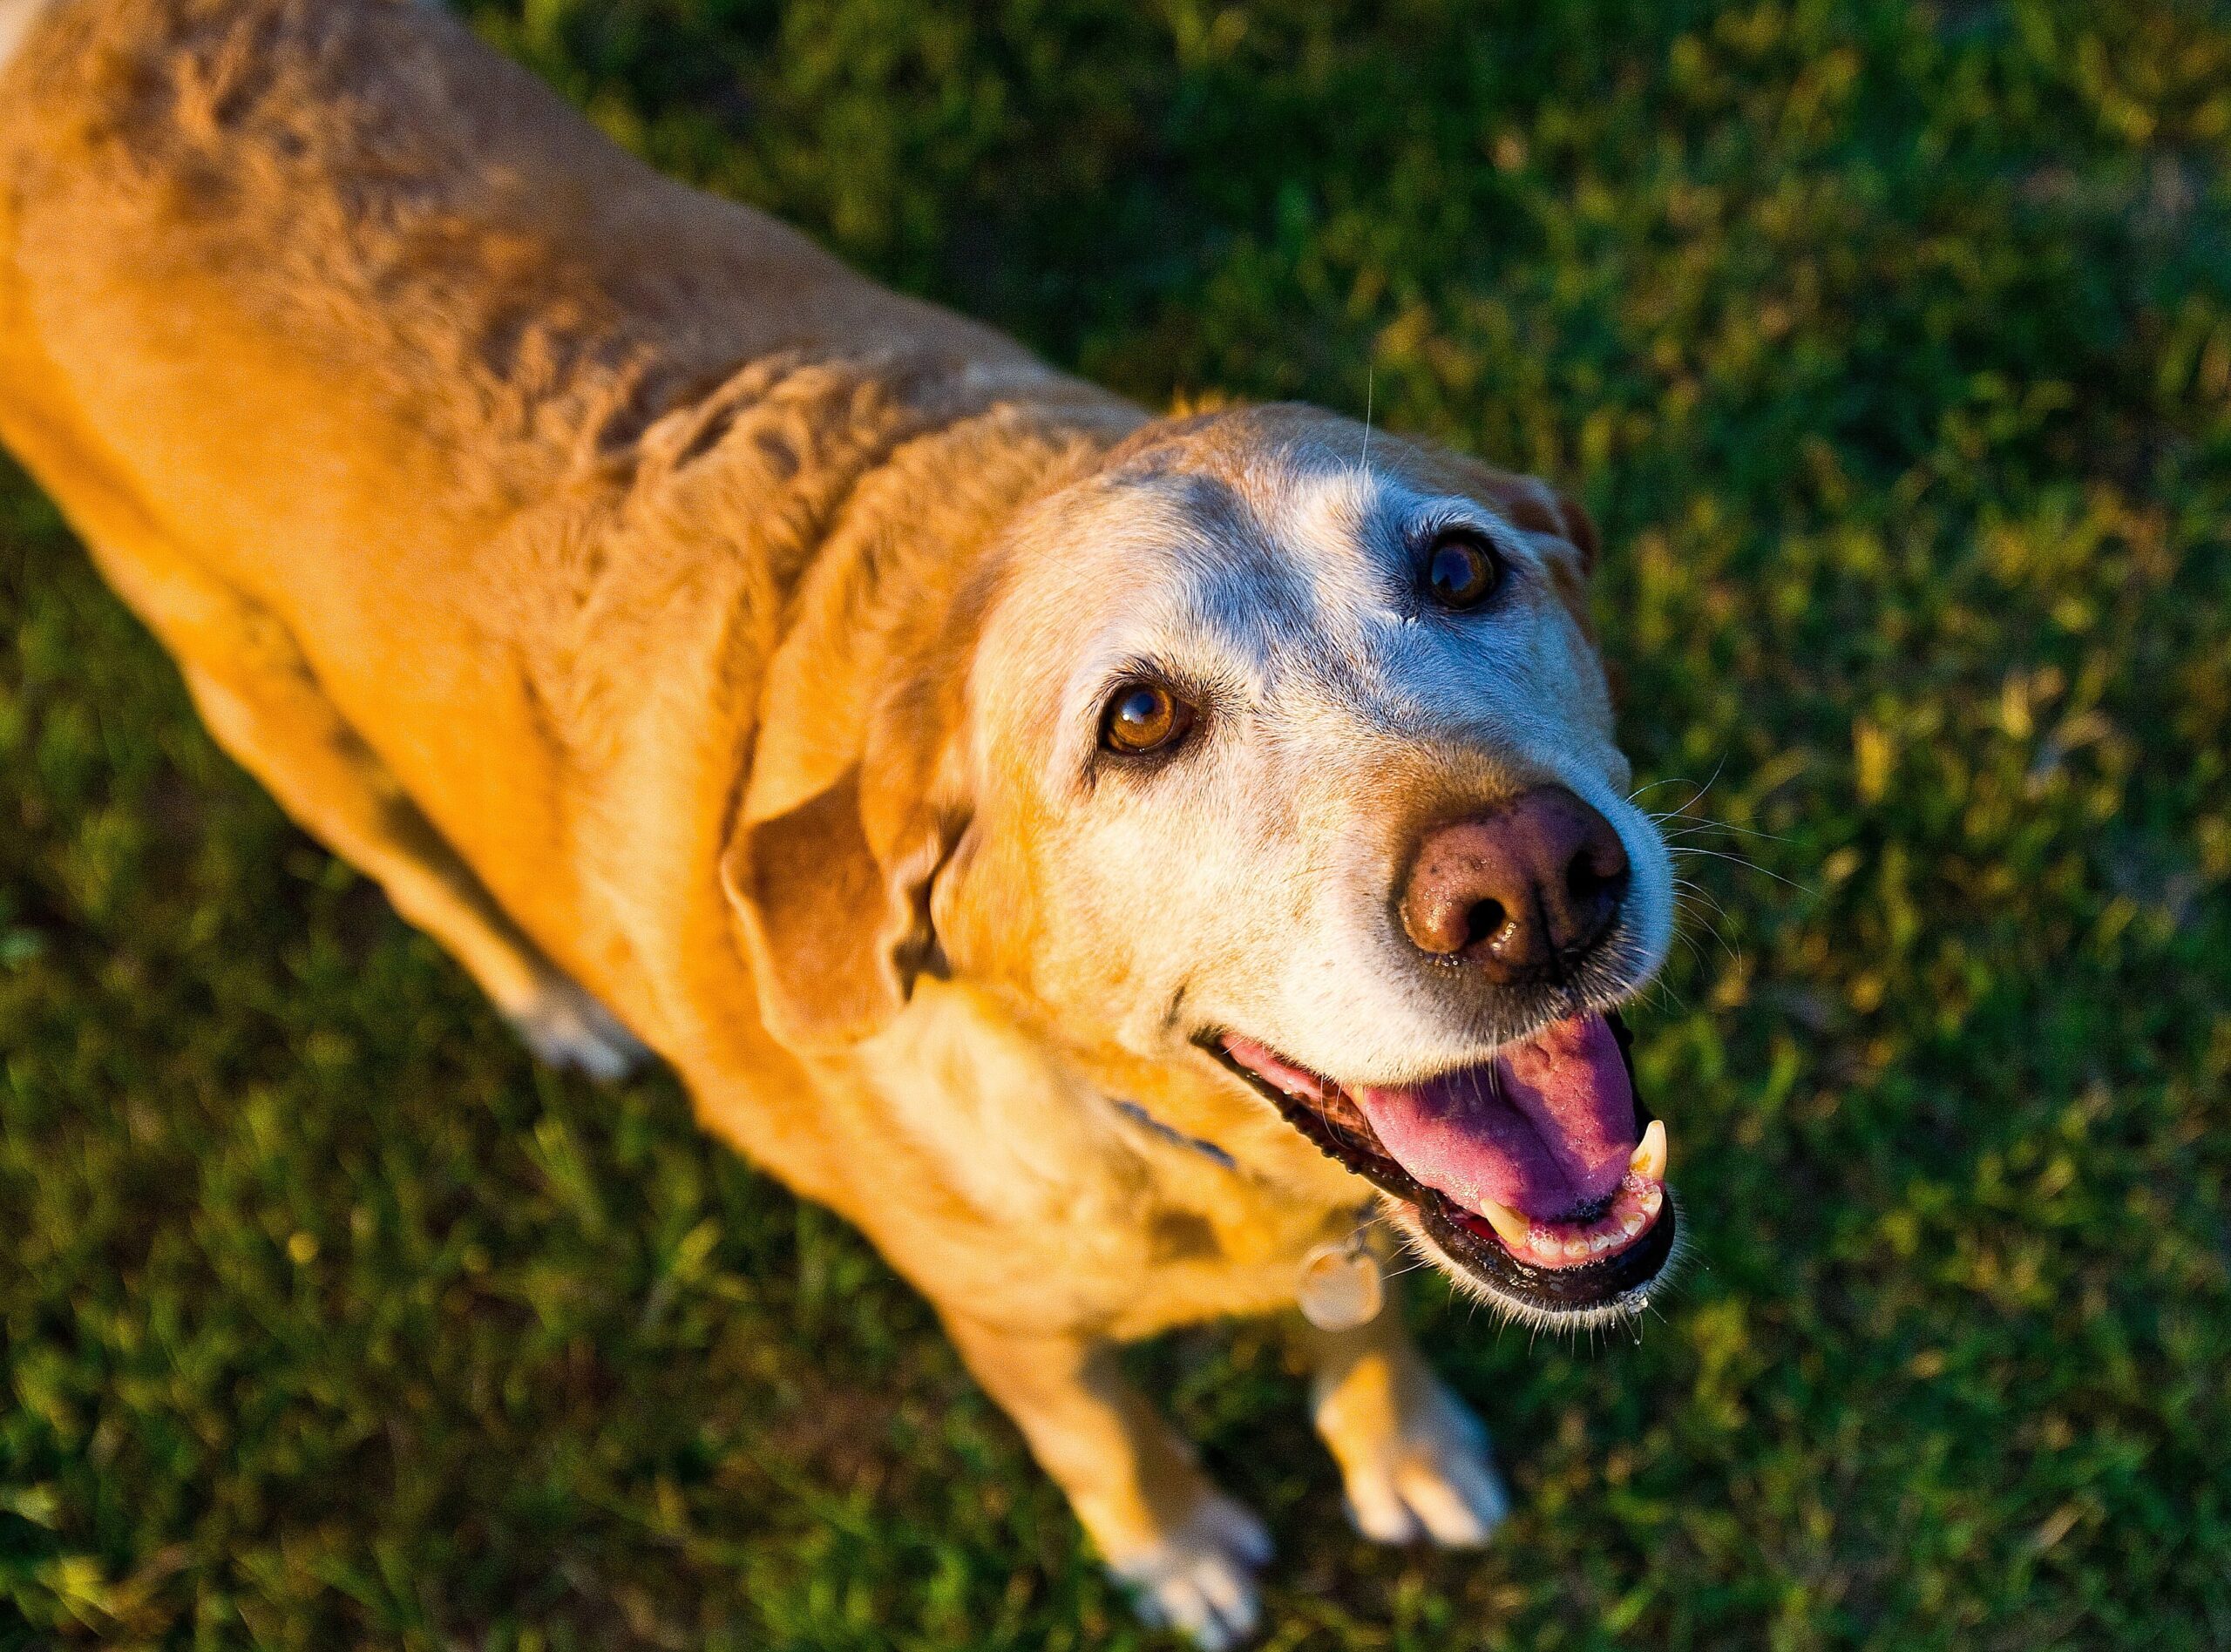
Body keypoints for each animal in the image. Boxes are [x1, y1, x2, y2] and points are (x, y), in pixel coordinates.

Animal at [0, 6, 1678, 1641]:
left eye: (1459, 567)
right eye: (1138, 721)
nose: (1533, 889)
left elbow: (1368, 1319)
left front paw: (1404, 1447)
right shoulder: (1008, 1325)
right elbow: (1105, 1436)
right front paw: (1179, 1548)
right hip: (260, 689)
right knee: (423, 875)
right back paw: (554, 1006)